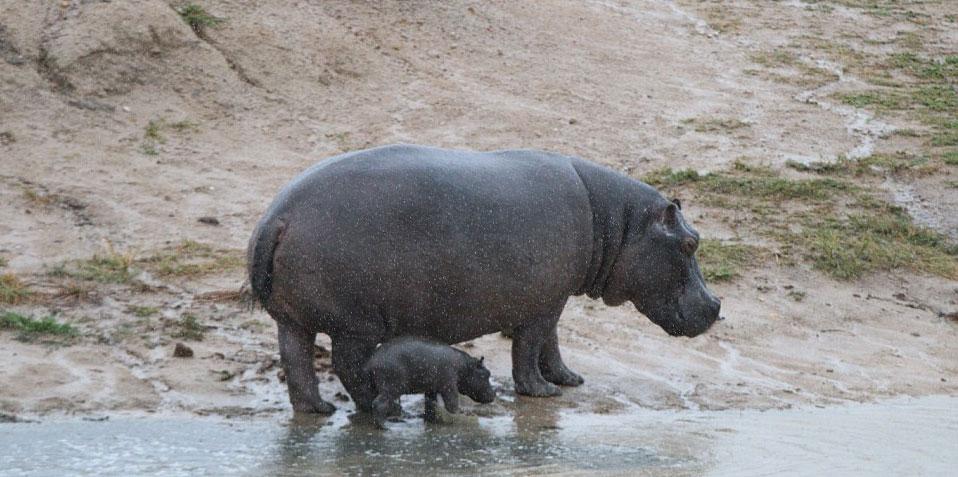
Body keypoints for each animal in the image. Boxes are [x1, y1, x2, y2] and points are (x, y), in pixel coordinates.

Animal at [248, 142, 720, 412]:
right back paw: (379, 409)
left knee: (296, 362)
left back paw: (319, 411)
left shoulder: (553, 296)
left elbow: (552, 343)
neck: (618, 223)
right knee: (346, 366)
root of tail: (278, 216)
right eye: (690, 243)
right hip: (356, 324)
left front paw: (569, 380)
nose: (717, 306)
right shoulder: (541, 302)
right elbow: (529, 347)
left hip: (293, 319)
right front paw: (543, 392)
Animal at [366, 336, 498, 426]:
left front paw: (431, 419)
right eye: (486, 374)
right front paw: (460, 415)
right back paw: (384, 427)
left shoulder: (432, 388)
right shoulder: (449, 386)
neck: (464, 367)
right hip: (392, 387)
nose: (494, 394)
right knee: (378, 403)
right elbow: (452, 403)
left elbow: (430, 403)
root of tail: (372, 360)